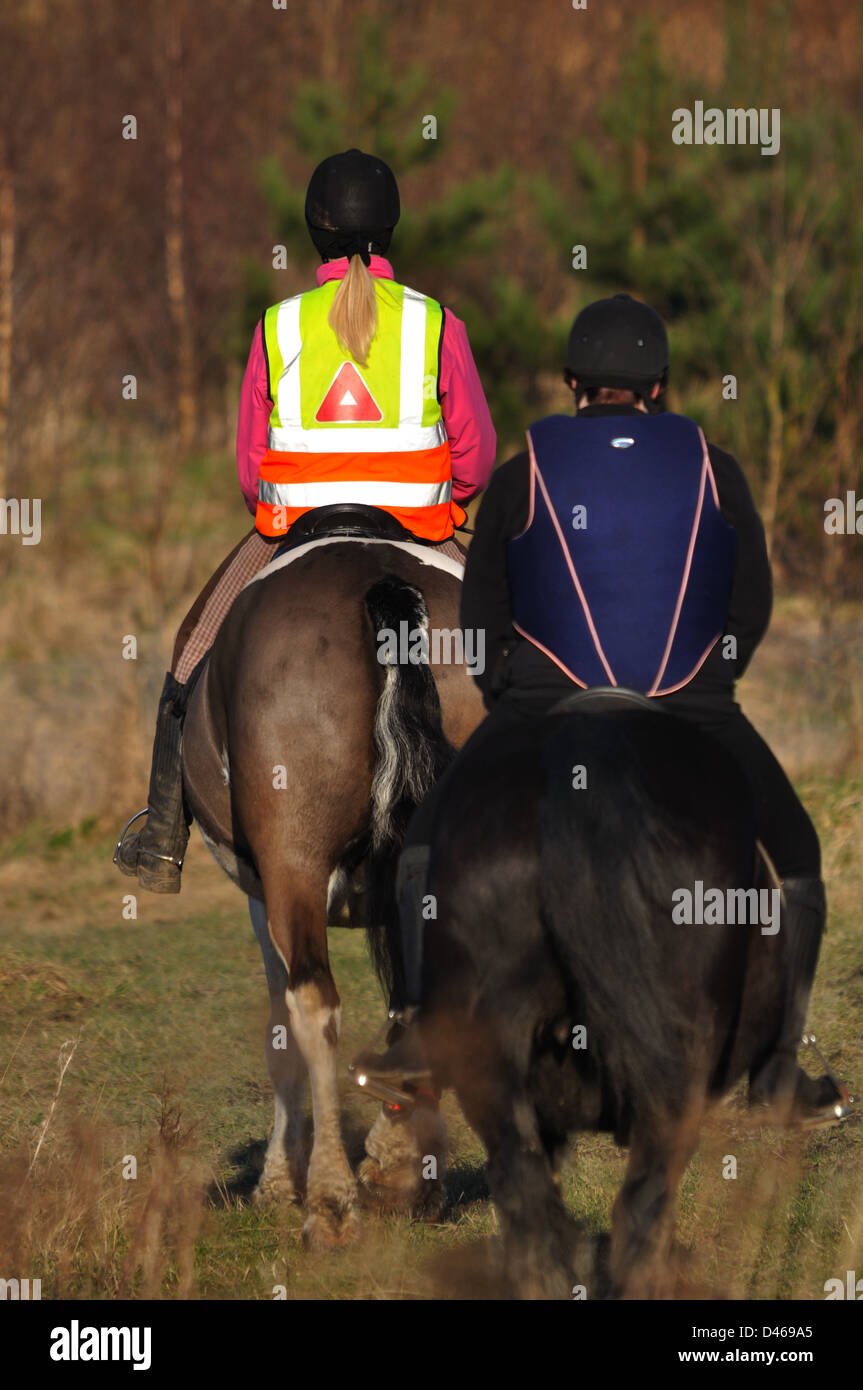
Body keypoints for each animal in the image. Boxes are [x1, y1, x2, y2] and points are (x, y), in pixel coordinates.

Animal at [182, 530, 483, 1251]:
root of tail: (382, 582)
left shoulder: (263, 896)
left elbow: (281, 1031)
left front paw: (276, 1183)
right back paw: (401, 1168)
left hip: (292, 861)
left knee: (314, 1004)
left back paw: (332, 1201)